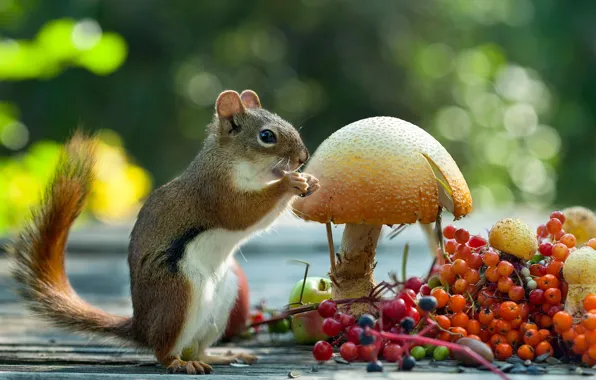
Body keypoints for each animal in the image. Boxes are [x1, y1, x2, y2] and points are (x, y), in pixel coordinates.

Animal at [5, 90, 322, 374]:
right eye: (266, 136)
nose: (303, 156)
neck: (229, 160)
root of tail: (142, 328)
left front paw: (310, 180)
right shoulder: (214, 192)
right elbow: (244, 213)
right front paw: (289, 183)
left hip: (224, 297)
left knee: (198, 347)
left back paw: (223, 355)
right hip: (178, 290)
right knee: (164, 351)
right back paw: (181, 363)